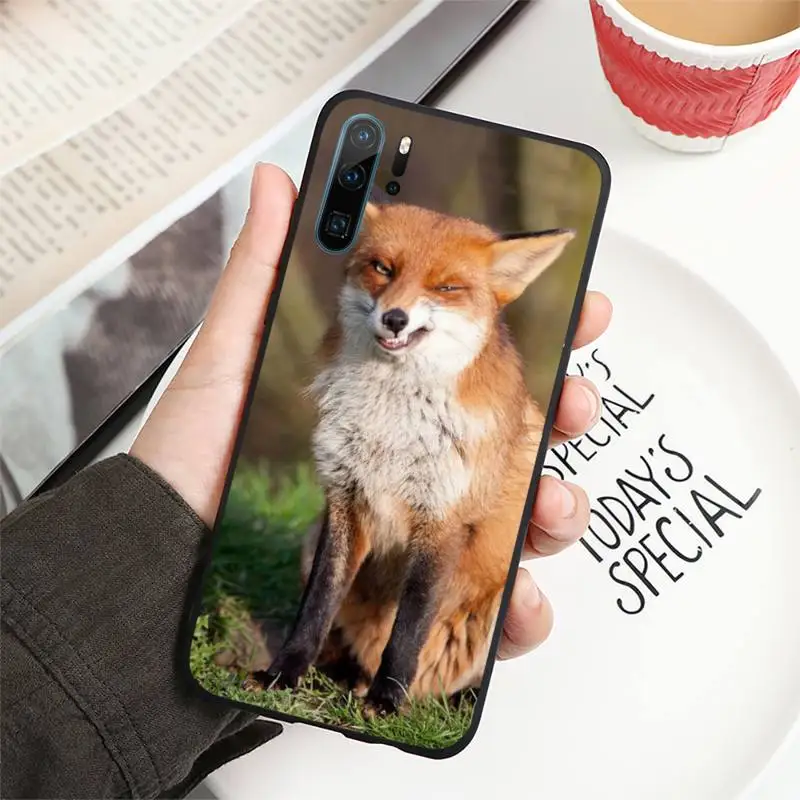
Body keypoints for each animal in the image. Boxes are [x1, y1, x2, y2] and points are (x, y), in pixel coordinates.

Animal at [254, 202, 575, 715]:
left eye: (446, 288)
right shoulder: (345, 500)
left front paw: (387, 699)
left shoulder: (443, 520)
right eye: (383, 269)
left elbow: (409, 625)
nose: (395, 318)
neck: (391, 430)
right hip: (312, 534)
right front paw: (284, 673)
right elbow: (317, 604)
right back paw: (347, 675)